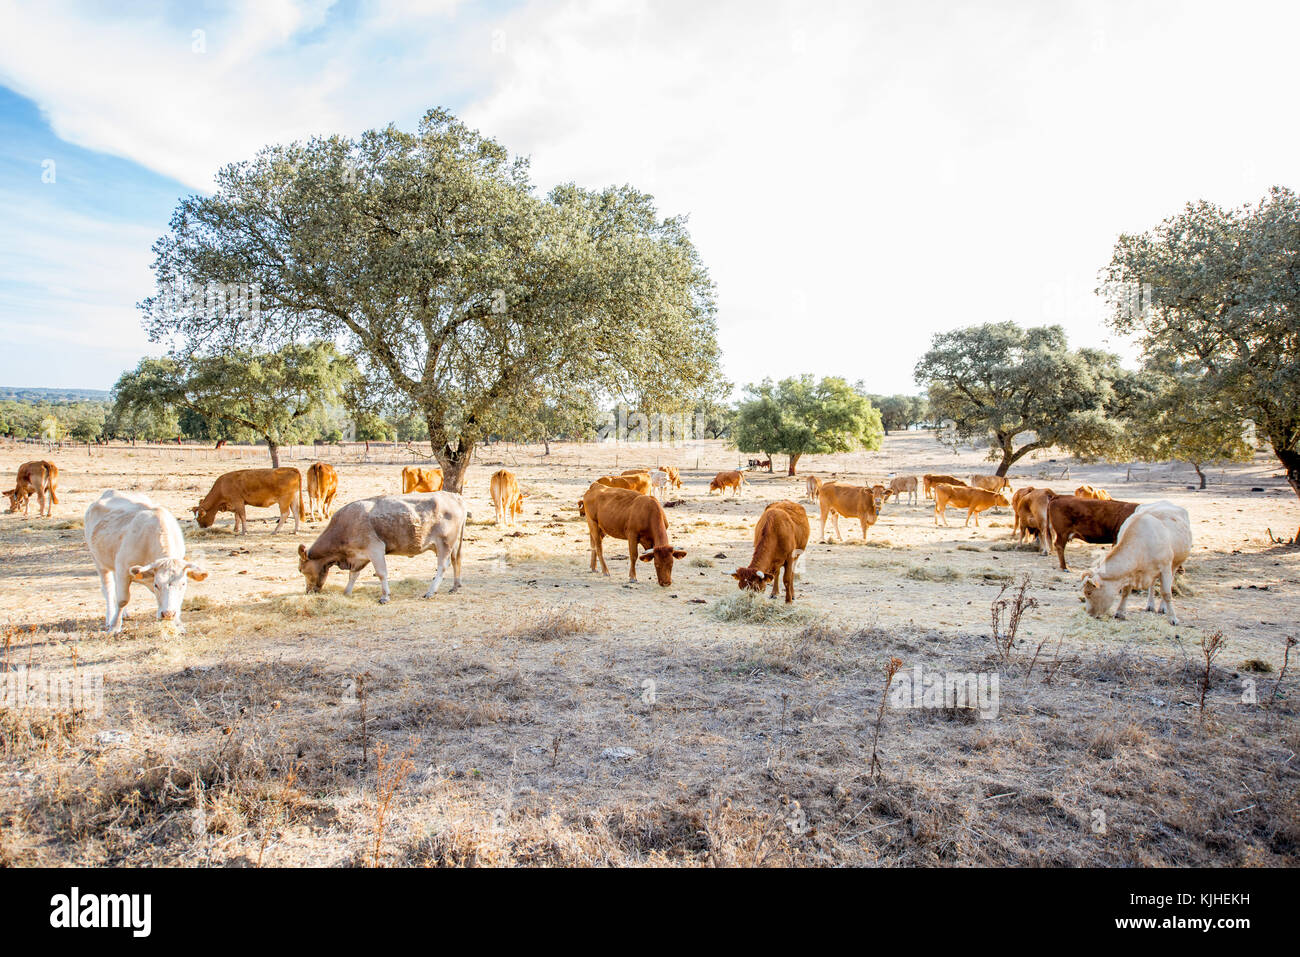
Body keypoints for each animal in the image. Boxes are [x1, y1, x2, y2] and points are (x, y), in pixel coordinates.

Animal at [84, 490, 208, 633]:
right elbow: (122, 599)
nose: (168, 614)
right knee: (108, 589)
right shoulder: (123, 570)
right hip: (99, 561)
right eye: (157, 585)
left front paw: (177, 624)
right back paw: (110, 618)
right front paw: (115, 626)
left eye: (183, 584)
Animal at [297, 492, 467, 603]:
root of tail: (454, 496)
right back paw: (455, 586)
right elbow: (353, 575)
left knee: (443, 566)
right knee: (456, 560)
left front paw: (385, 596)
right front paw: (347, 592)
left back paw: (431, 591)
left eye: (300, 569)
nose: (307, 591)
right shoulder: (358, 556)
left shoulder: (375, 548)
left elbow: (381, 573)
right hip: (454, 544)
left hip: (444, 543)